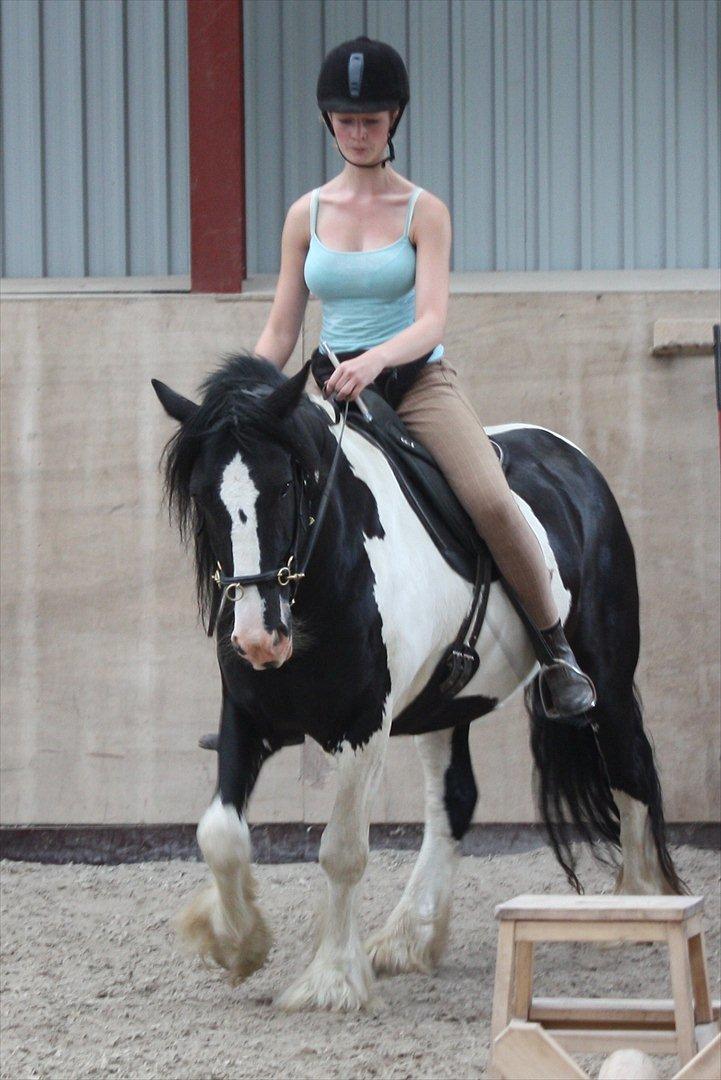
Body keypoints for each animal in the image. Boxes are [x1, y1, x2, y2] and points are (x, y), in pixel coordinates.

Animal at [152, 354, 682, 1010]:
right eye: (202, 496)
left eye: (283, 486)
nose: (258, 639)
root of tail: (574, 463)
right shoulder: (249, 718)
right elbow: (219, 833)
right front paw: (238, 944)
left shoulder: (362, 727)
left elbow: (342, 851)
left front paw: (331, 978)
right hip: (445, 706)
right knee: (455, 800)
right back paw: (407, 939)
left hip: (605, 675)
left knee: (630, 770)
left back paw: (631, 913)